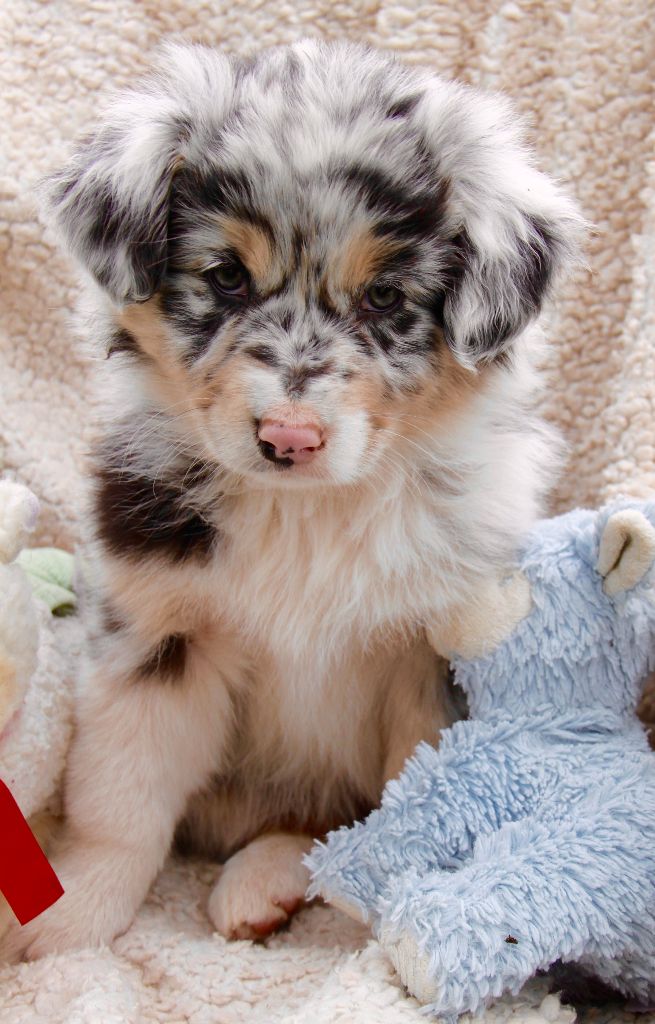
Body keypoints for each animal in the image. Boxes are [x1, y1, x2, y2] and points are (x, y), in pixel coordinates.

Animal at [5, 39, 581, 957]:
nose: (289, 438)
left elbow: (410, 813)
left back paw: (265, 881)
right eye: (226, 278)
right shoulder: (156, 634)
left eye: (385, 298)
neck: (308, 514)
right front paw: (70, 919)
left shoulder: (430, 661)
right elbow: (120, 796)